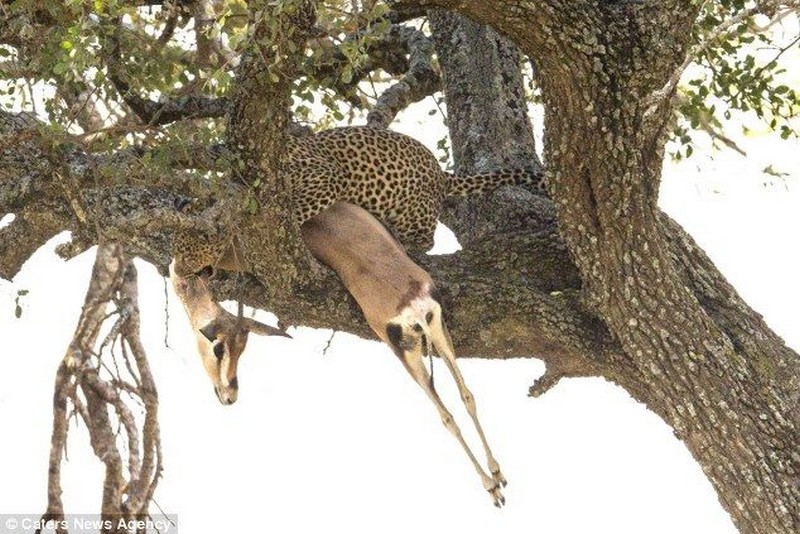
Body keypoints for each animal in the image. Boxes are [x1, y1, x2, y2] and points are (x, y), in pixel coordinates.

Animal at [172, 125, 548, 276]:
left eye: (189, 249)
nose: (178, 270)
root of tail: (442, 175)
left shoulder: (325, 177)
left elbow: (296, 209)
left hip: (410, 207)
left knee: (426, 238)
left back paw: (406, 243)